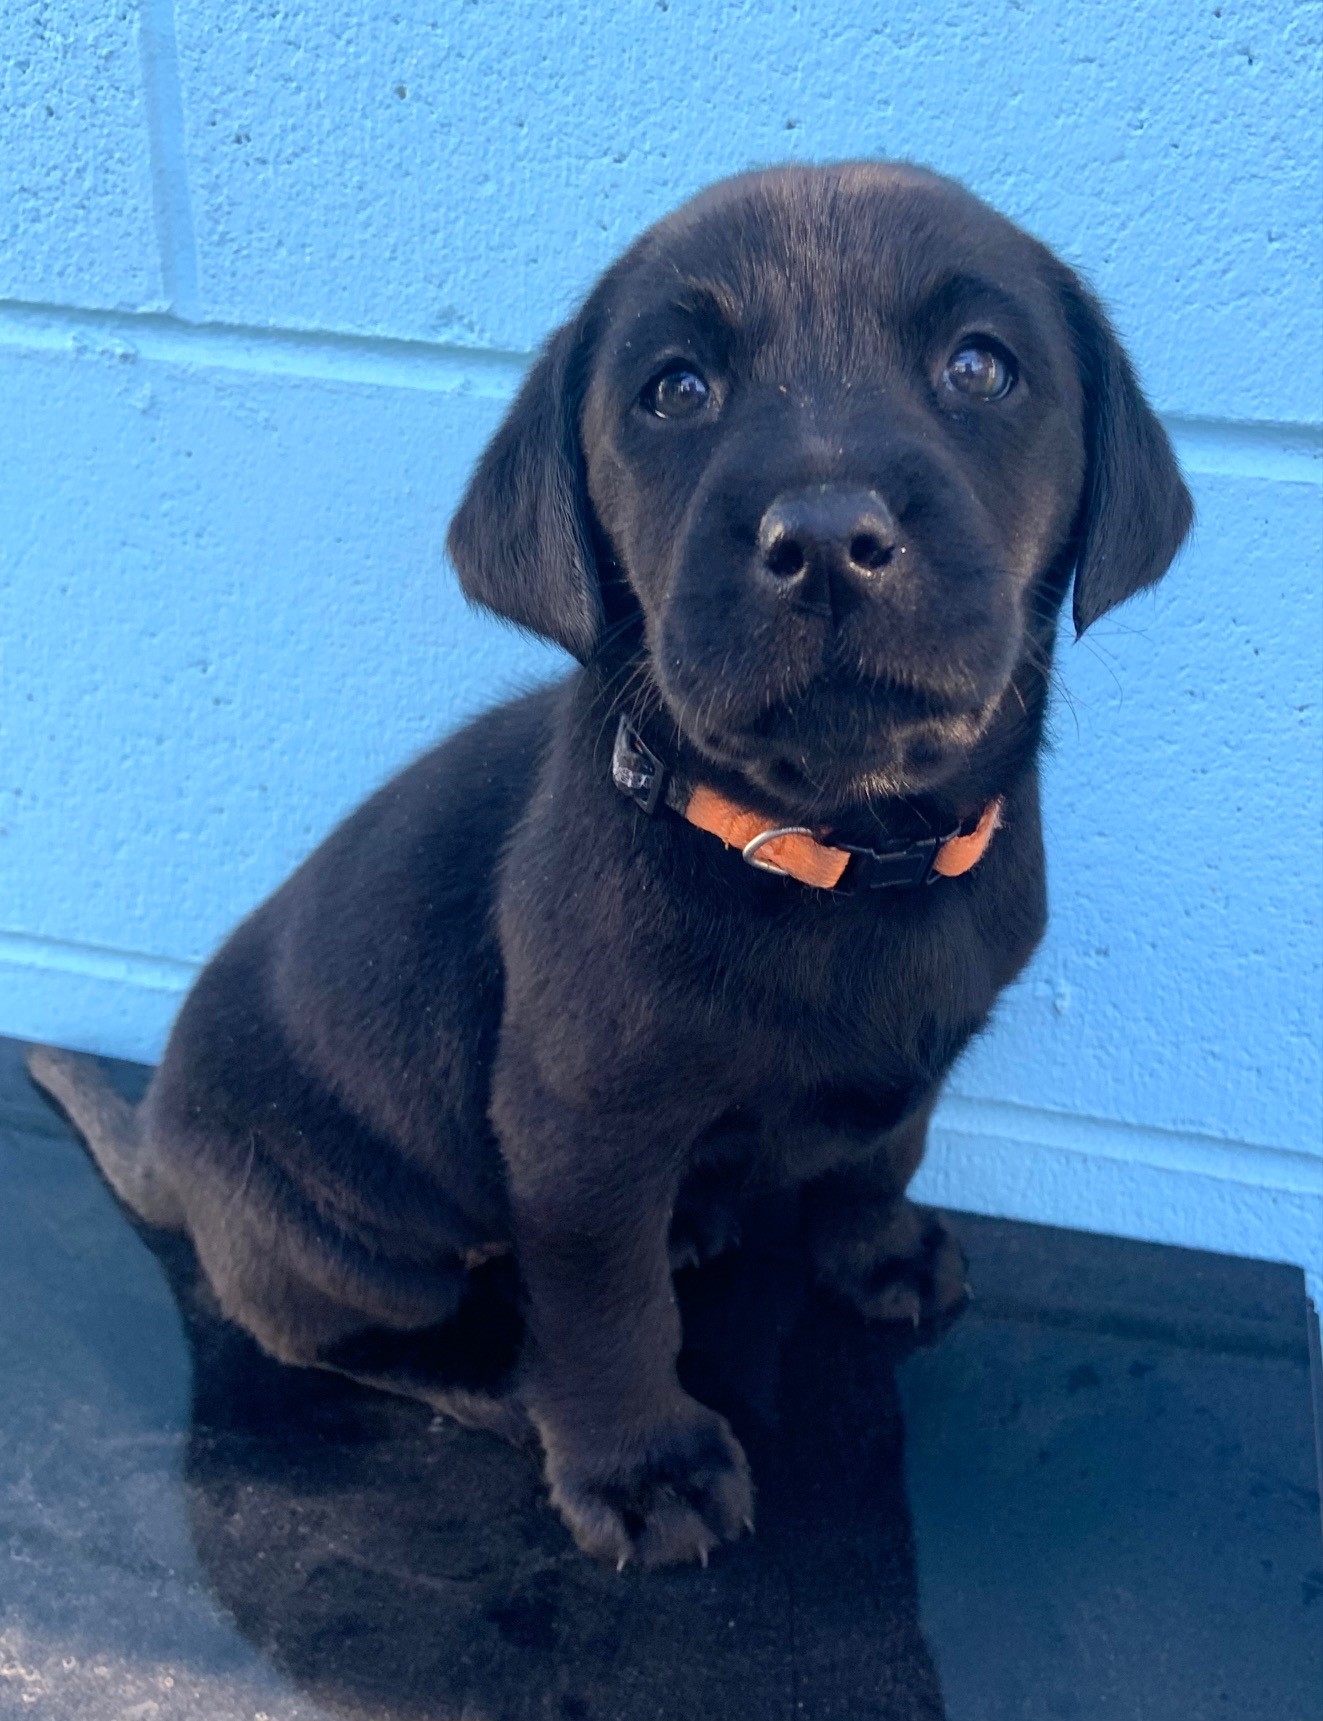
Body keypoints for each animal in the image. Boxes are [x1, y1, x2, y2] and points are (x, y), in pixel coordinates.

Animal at [28, 164, 1183, 1576]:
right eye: (675, 391)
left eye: (980, 365)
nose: (826, 536)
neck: (833, 849)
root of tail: (165, 1158)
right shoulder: (581, 1130)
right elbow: (606, 1304)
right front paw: (642, 1464)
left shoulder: (917, 1052)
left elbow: (884, 1146)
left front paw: (877, 1252)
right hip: (338, 1235)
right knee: (341, 1330)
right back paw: (498, 1380)